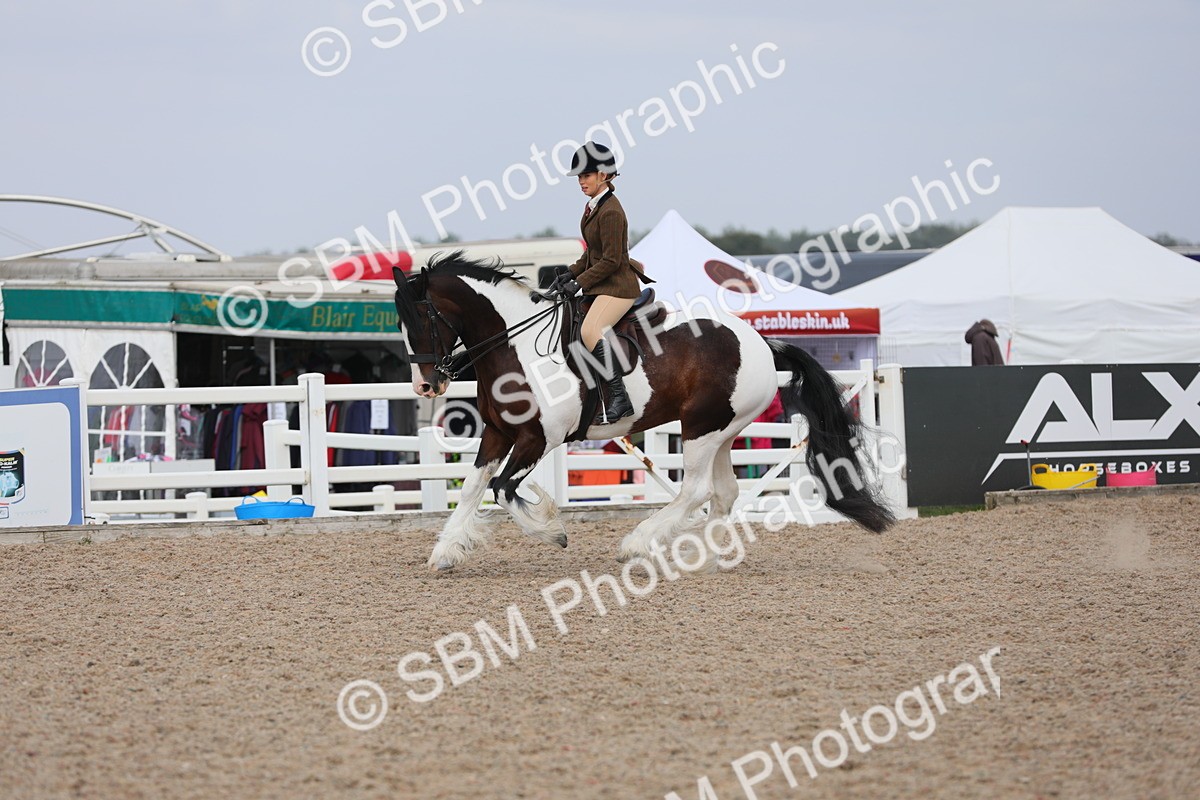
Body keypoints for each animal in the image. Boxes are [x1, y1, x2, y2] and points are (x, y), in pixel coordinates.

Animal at [391, 253, 894, 571]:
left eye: (424, 318)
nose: (427, 384)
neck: (515, 345)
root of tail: (761, 342)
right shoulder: (498, 434)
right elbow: (473, 488)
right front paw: (447, 552)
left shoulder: (538, 439)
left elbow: (501, 489)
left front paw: (553, 530)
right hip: (723, 431)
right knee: (723, 492)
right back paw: (705, 559)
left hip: (700, 429)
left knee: (694, 490)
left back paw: (636, 545)